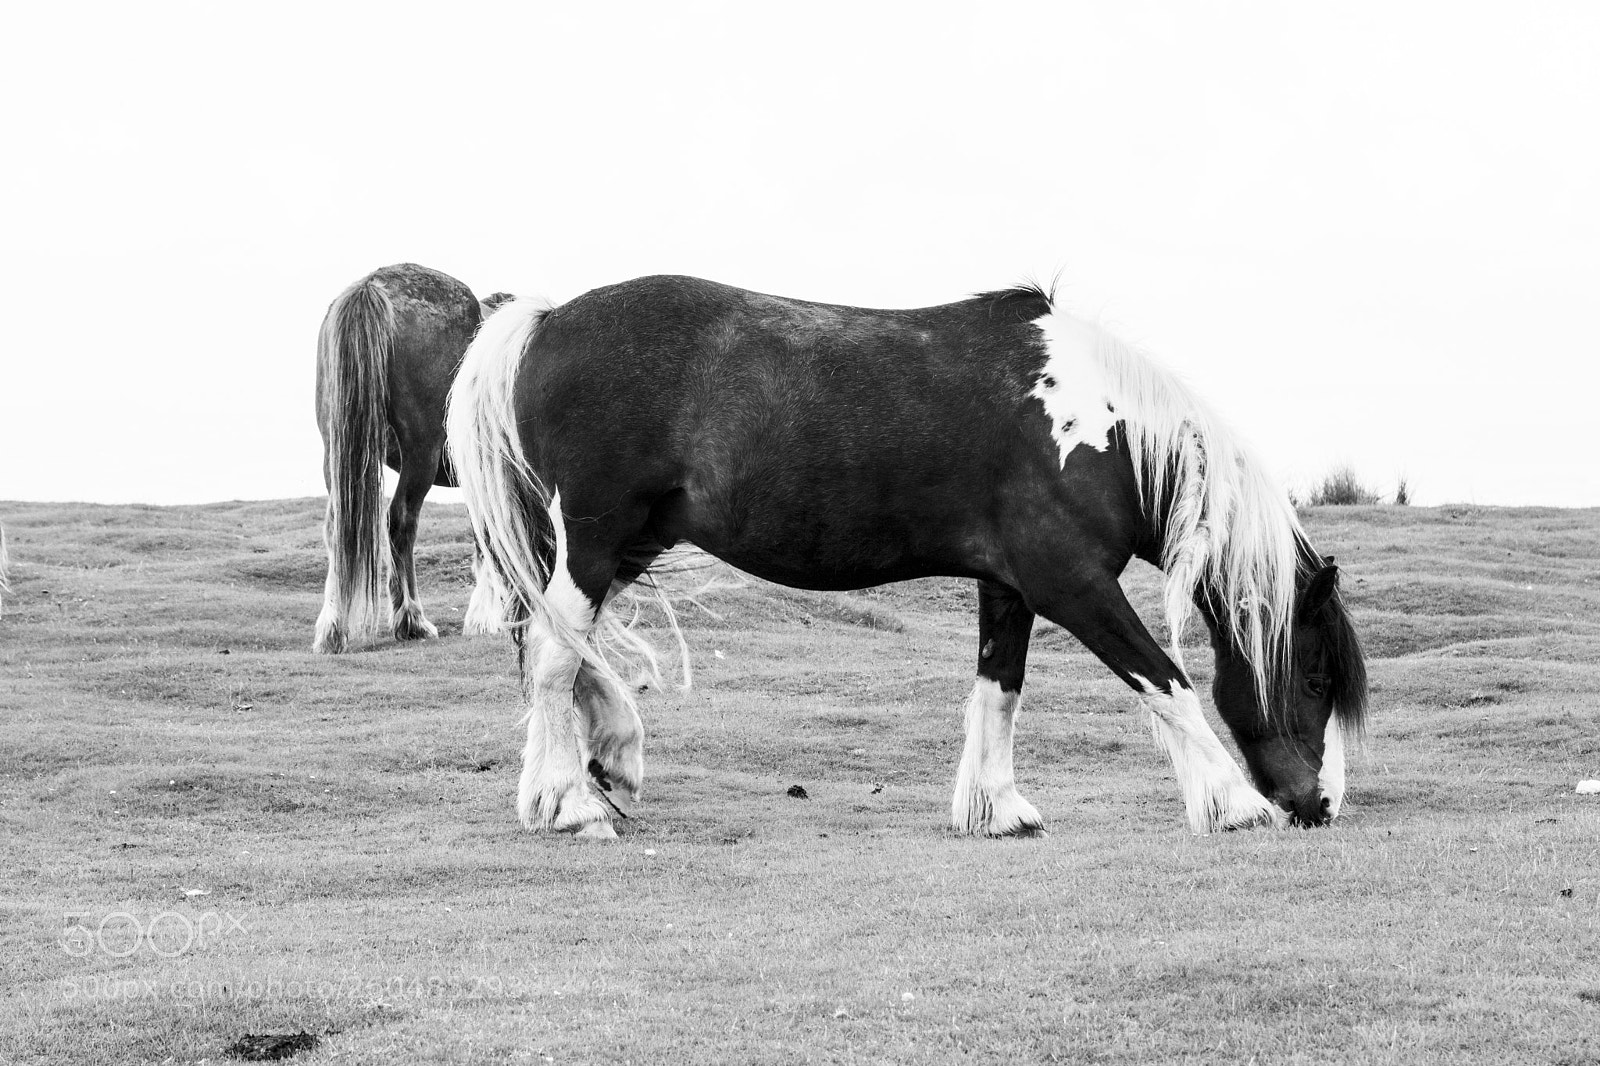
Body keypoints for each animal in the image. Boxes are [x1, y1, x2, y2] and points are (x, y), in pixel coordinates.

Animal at [313, 263, 517, 654]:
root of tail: (373, 287)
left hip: (336, 451)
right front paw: (489, 617)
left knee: (336, 527)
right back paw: (411, 620)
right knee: (401, 521)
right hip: (421, 453)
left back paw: (332, 628)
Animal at [446, 275, 1368, 840]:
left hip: (630, 539)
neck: (1093, 429)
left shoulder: (1010, 588)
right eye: (1317, 674)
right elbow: (1165, 682)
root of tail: (549, 320)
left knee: (559, 647)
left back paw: (608, 757)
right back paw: (572, 803)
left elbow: (999, 691)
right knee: (555, 653)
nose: (1319, 805)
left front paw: (998, 809)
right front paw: (1233, 803)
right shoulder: (1071, 585)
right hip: (598, 536)